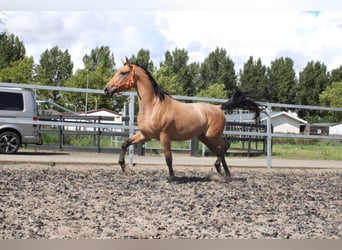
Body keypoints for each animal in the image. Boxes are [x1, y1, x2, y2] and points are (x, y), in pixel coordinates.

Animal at [103, 57, 260, 181]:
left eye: (123, 73)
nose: (106, 89)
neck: (154, 106)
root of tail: (219, 108)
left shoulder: (164, 136)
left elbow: (168, 158)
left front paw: (172, 177)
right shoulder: (145, 135)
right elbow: (125, 144)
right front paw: (124, 168)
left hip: (212, 135)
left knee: (225, 145)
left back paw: (220, 170)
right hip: (205, 138)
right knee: (219, 150)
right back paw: (224, 173)